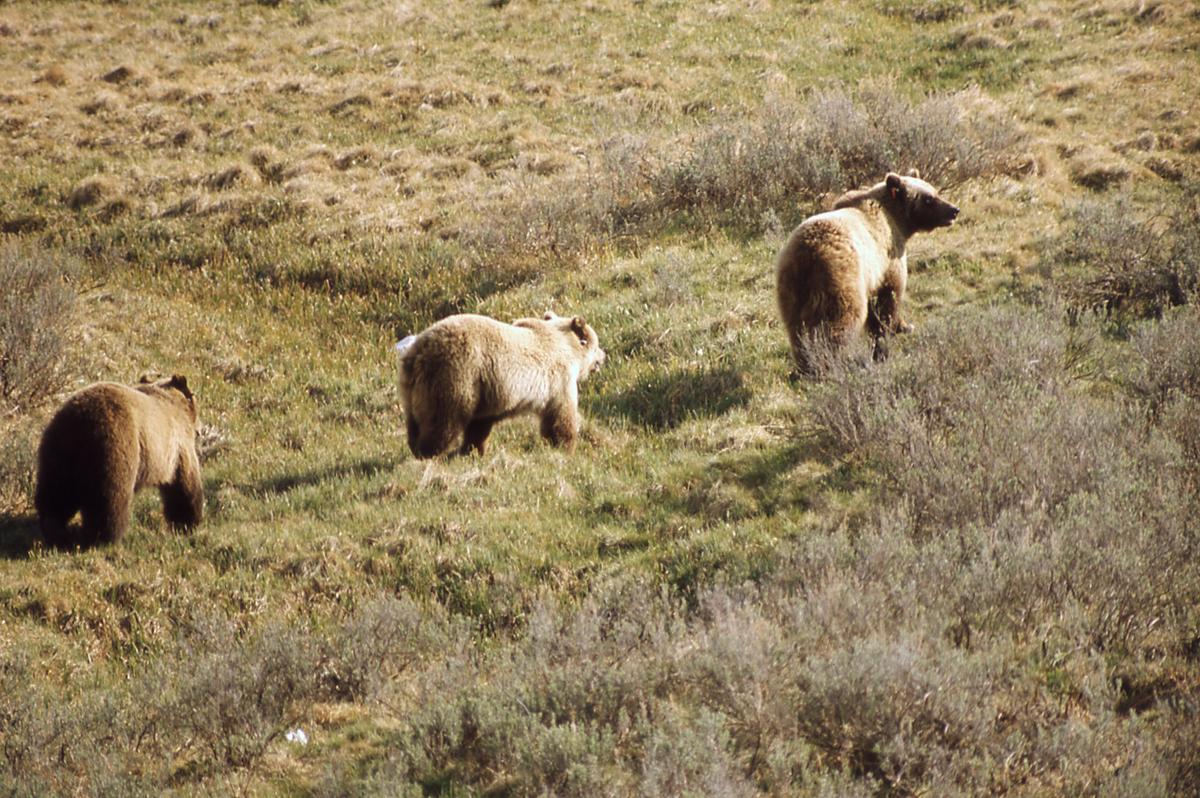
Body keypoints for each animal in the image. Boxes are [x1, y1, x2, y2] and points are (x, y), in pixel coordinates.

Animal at [34, 374, 204, 548]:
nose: (200, 430)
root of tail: (78, 422)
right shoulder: (178, 446)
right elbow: (185, 485)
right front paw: (188, 523)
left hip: (57, 454)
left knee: (55, 495)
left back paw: (55, 531)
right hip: (116, 448)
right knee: (109, 500)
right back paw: (105, 538)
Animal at [397, 311, 606, 458]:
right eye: (597, 344)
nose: (604, 356)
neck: (570, 350)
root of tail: (419, 351)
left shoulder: (488, 391)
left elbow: (479, 426)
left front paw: (474, 451)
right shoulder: (558, 380)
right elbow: (560, 417)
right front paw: (565, 448)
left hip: (412, 390)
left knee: (415, 421)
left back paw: (416, 448)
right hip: (456, 376)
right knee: (444, 420)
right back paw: (430, 453)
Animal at [774, 171, 960, 373]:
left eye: (935, 191)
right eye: (928, 198)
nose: (954, 210)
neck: (897, 220)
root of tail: (808, 253)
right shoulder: (887, 261)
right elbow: (887, 302)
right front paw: (892, 335)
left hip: (791, 286)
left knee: (796, 328)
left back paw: (805, 364)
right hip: (840, 277)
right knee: (840, 320)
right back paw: (830, 364)